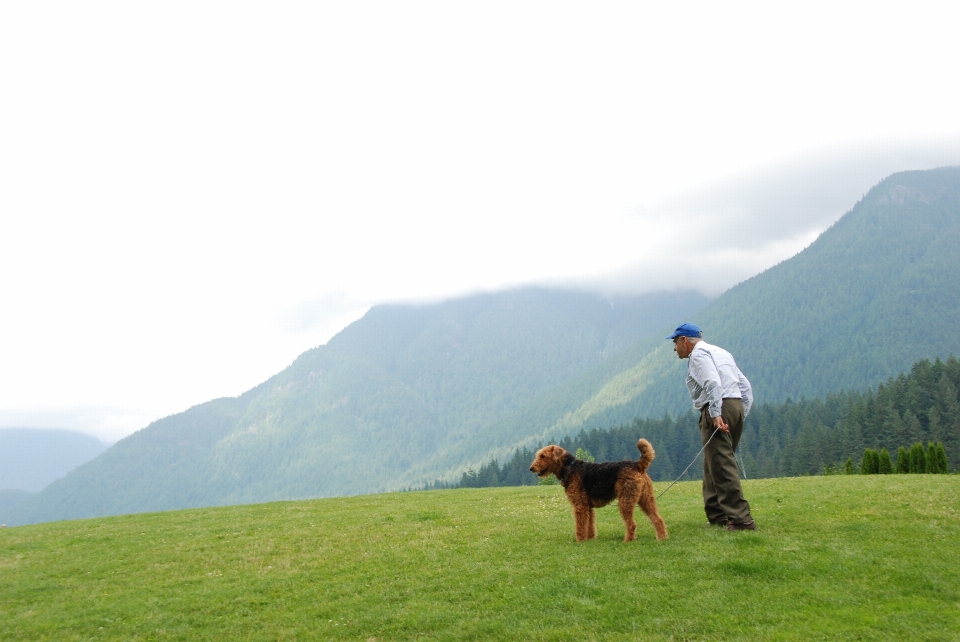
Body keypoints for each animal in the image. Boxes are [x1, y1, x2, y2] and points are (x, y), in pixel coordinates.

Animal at [524, 438, 668, 536]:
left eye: (543, 456)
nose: (531, 468)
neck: (570, 468)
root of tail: (638, 465)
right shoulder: (588, 506)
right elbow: (590, 526)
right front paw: (590, 539)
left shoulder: (580, 506)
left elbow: (580, 527)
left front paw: (580, 541)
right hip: (646, 499)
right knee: (658, 519)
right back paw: (661, 538)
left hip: (625, 500)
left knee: (631, 524)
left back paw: (627, 541)